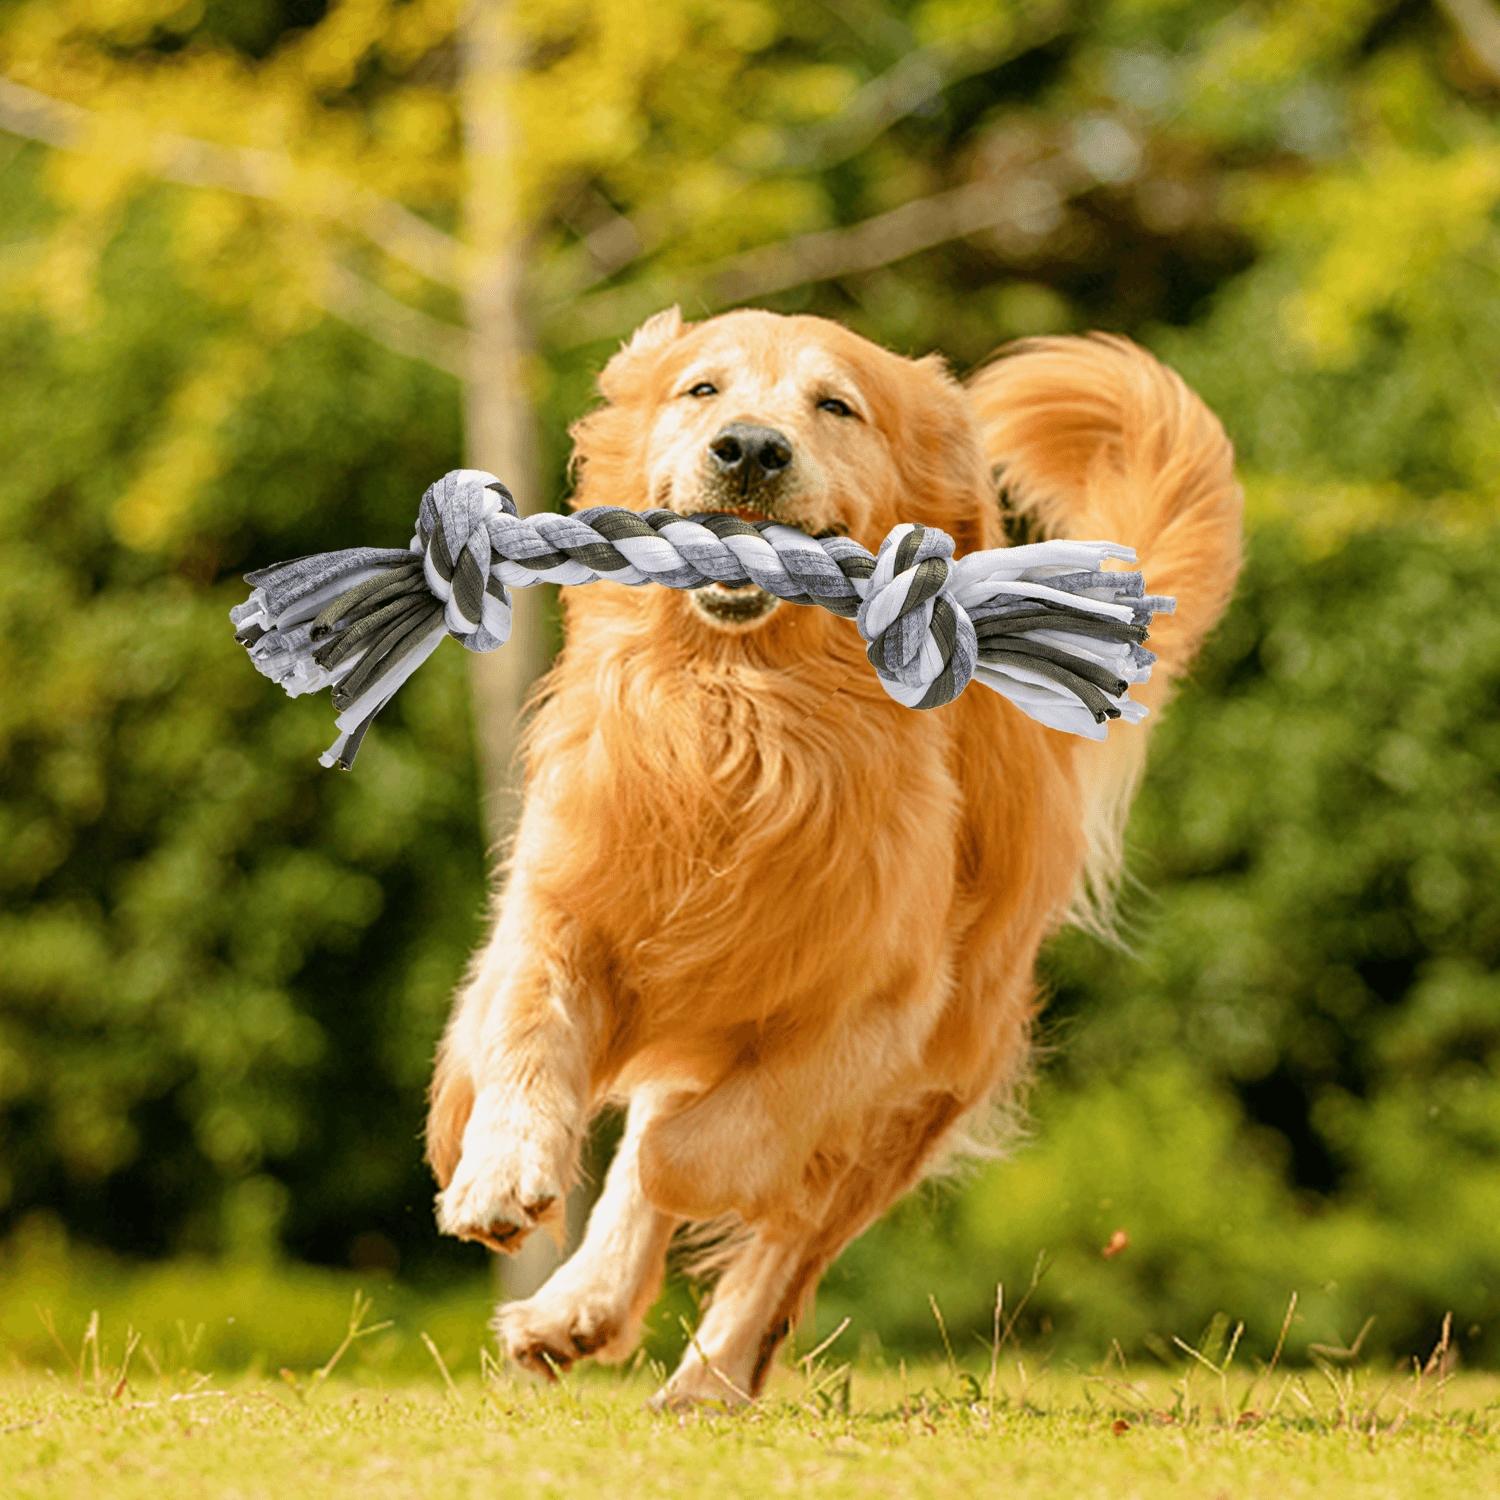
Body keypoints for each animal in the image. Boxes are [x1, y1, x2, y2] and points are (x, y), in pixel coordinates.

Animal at [423, 304, 1242, 1404]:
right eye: (702, 389)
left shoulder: (879, 1015)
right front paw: (497, 1176)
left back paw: (706, 1381)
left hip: (931, 1080)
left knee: (787, 1239)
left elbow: (706, 1150)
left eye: (836, 405)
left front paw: (674, 1188)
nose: (750, 450)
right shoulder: (559, 906)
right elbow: (527, 1037)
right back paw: (576, 1309)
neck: (742, 711)